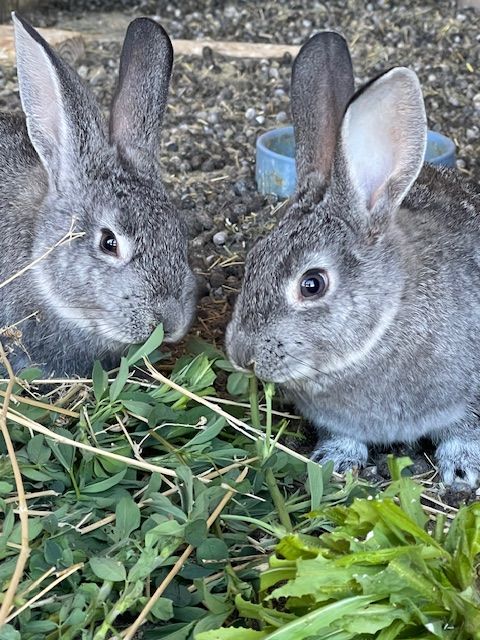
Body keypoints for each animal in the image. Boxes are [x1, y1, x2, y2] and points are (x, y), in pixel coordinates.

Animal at [226, 31, 480, 488]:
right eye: (252, 261)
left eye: (312, 284)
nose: (242, 355)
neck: (387, 319)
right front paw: (335, 461)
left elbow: (465, 430)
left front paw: (462, 470)